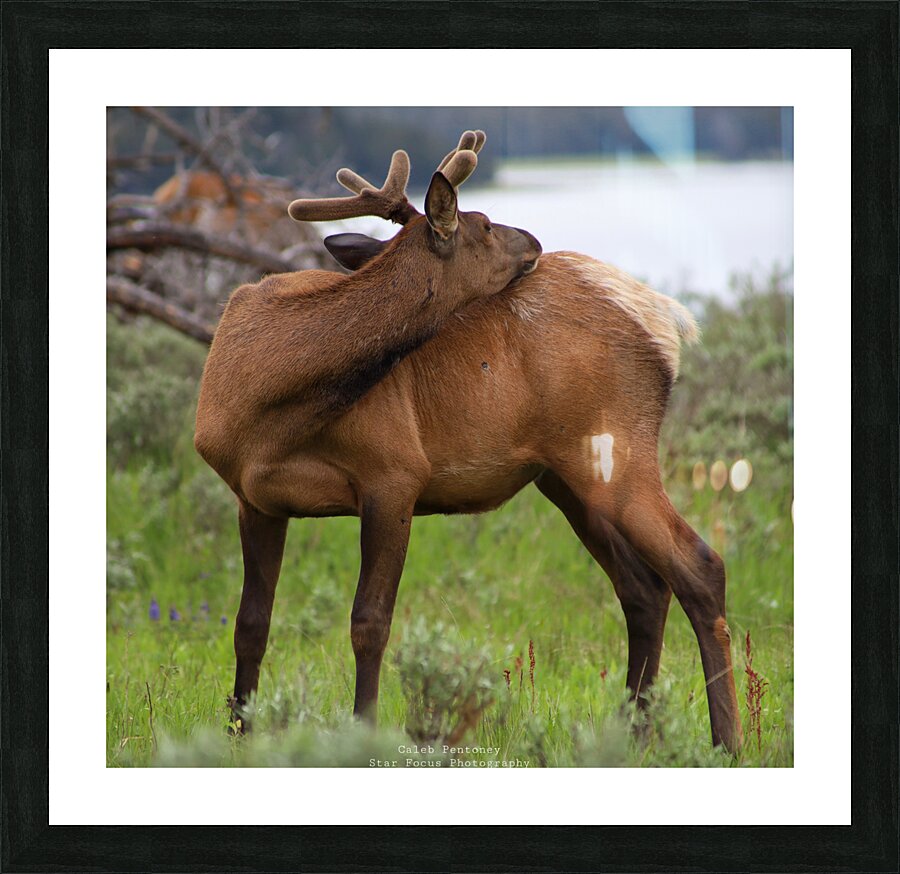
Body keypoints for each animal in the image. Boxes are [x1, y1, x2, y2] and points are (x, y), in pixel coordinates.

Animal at [194, 131, 743, 753]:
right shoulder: (254, 497)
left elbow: (369, 623)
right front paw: (238, 731)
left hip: (617, 451)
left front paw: (363, 731)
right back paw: (635, 732)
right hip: (566, 477)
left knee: (701, 566)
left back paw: (724, 741)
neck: (267, 404)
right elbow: (251, 624)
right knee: (645, 589)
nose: (533, 239)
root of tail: (666, 317)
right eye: (481, 223)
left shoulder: (395, 474)